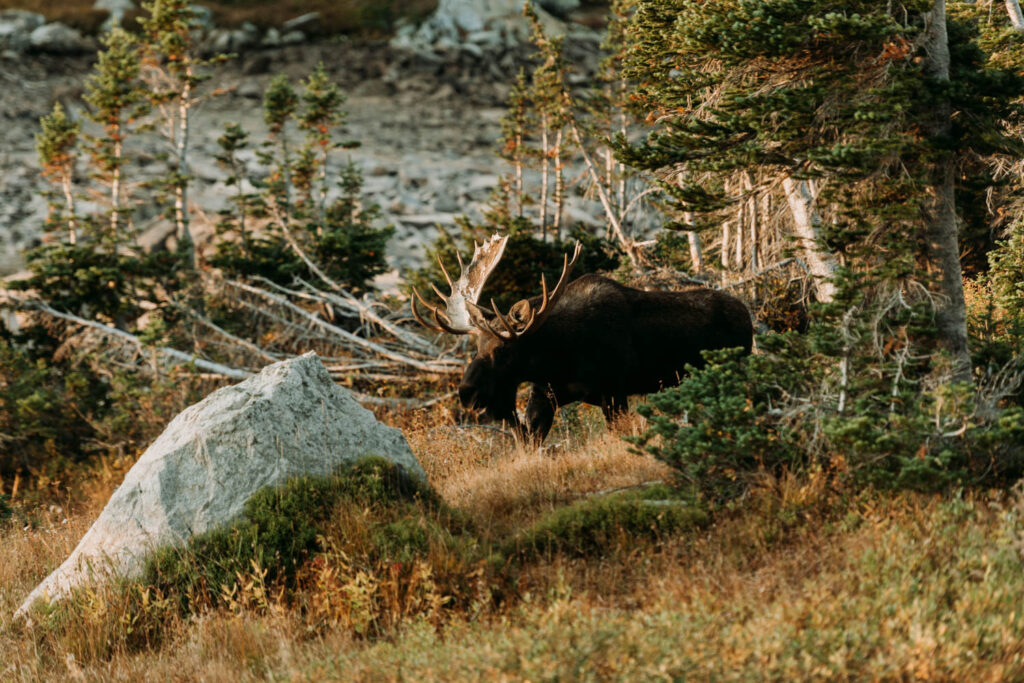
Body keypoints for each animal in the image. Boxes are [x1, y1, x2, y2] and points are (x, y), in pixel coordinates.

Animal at [411, 232, 757, 440]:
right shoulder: (544, 396)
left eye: (504, 351)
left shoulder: (615, 391)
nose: (467, 392)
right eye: (477, 346)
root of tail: (748, 316)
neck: (559, 357)